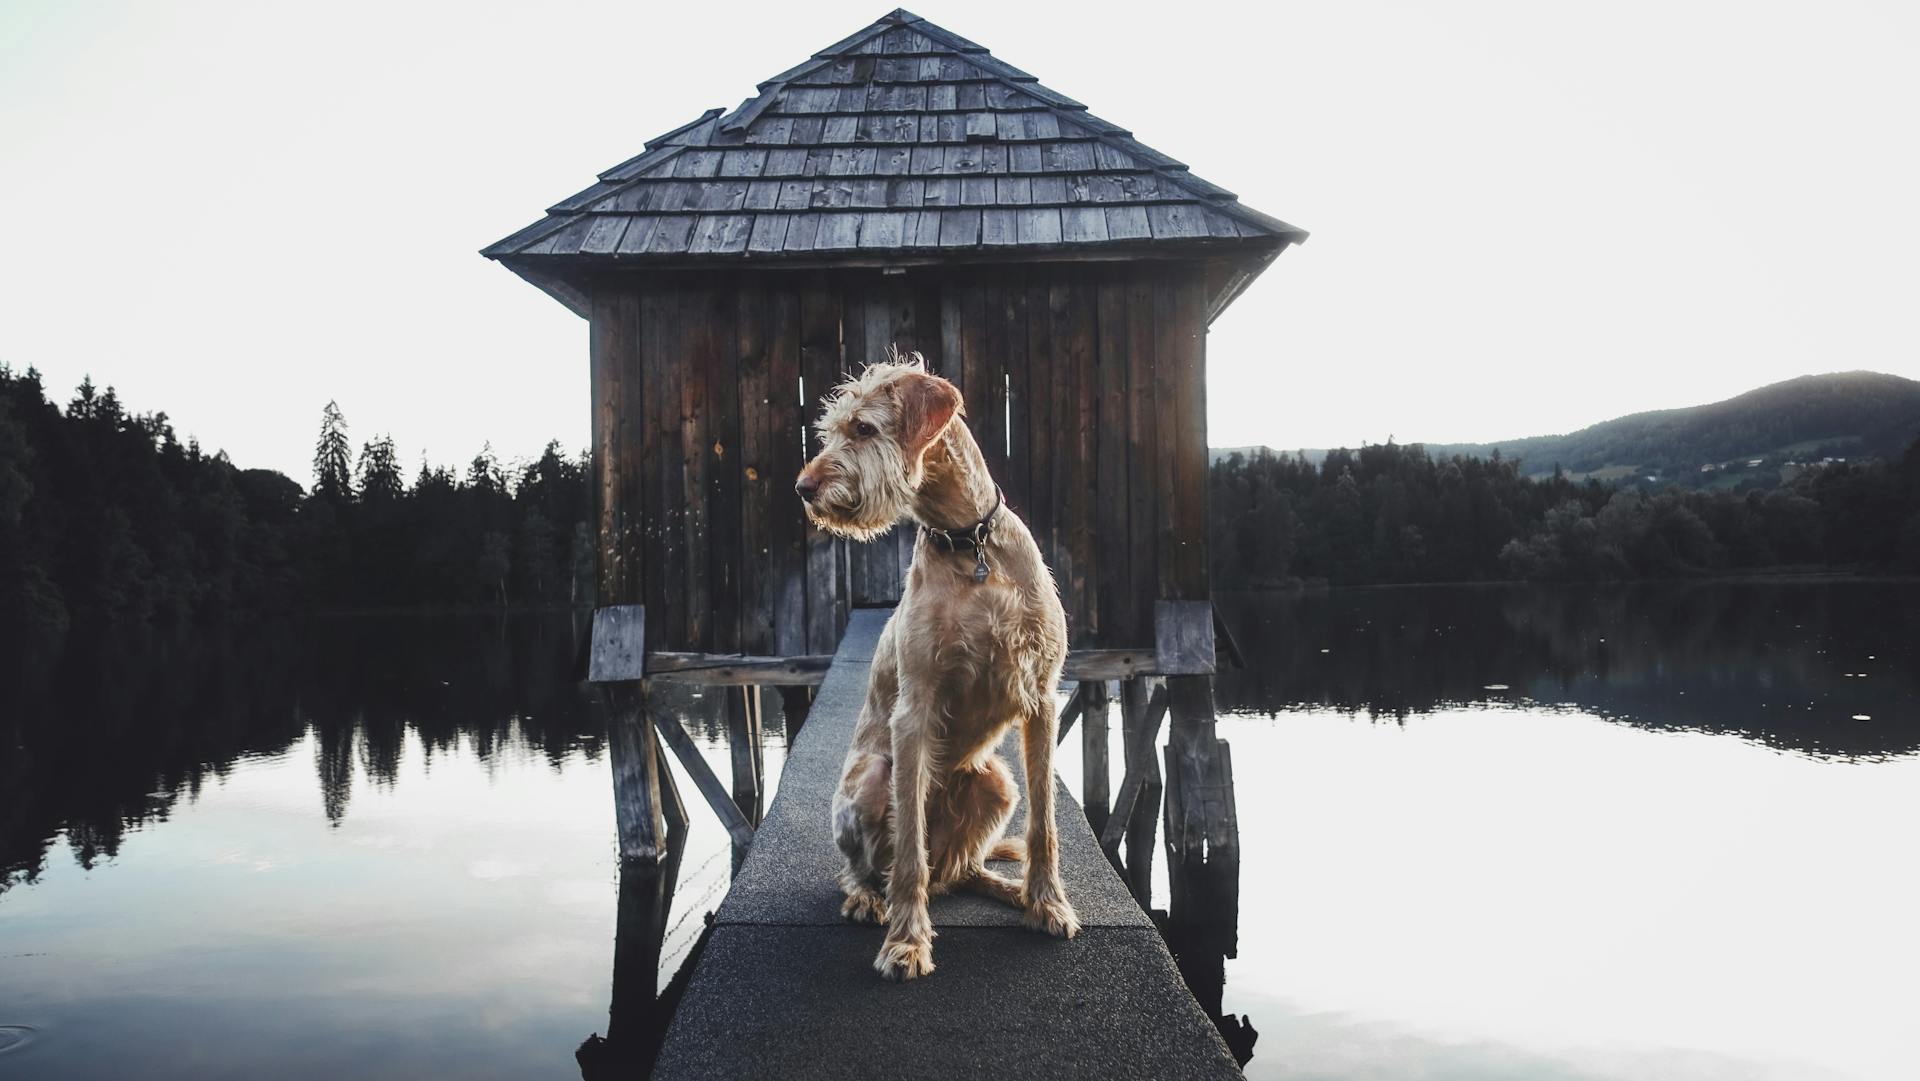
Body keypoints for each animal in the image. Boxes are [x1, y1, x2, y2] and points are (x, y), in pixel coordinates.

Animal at [794, 355, 1082, 983]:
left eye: (863, 429)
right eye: (831, 430)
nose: (803, 488)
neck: (969, 543)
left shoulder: (1043, 698)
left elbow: (1045, 825)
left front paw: (1048, 903)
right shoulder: (915, 707)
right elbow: (908, 855)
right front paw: (906, 944)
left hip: (996, 783)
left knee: (962, 868)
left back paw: (1008, 889)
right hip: (868, 782)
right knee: (878, 866)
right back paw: (866, 898)